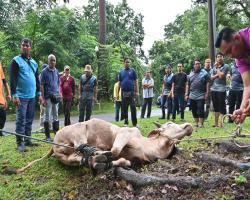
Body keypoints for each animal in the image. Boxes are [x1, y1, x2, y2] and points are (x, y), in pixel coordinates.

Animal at [13, 118, 193, 174]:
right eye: (169, 123)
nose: (188, 125)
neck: (151, 148)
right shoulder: (126, 132)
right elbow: (114, 149)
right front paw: (102, 155)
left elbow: (124, 161)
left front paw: (104, 162)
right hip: (79, 131)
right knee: (82, 146)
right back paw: (94, 155)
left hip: (64, 156)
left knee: (76, 158)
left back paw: (91, 160)